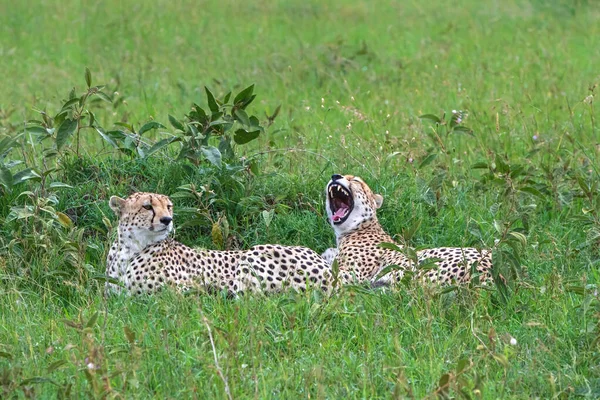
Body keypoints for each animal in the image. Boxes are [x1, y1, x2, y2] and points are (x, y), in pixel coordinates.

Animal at [106, 192, 336, 296]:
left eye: (168, 206)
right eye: (147, 206)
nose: (167, 220)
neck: (132, 247)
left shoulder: (176, 290)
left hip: (252, 255)